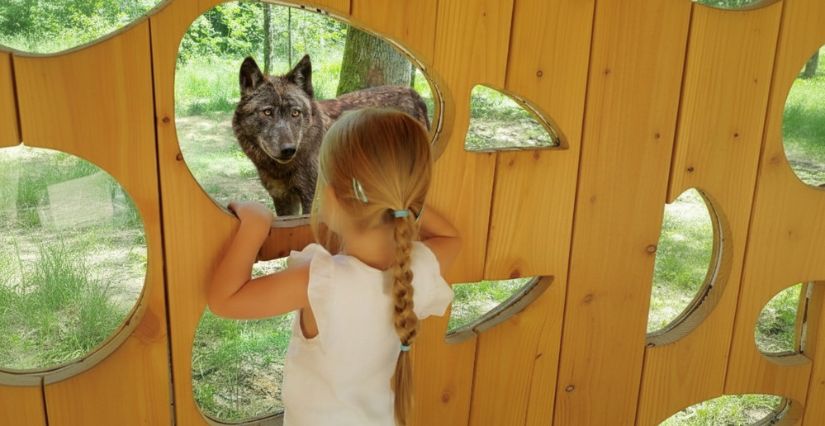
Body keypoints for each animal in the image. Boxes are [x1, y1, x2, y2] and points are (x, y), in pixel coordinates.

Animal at [232, 55, 430, 216]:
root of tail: (414, 94)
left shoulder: (311, 198)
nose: (288, 150)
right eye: (267, 112)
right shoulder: (282, 199)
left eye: (295, 113)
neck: (281, 169)